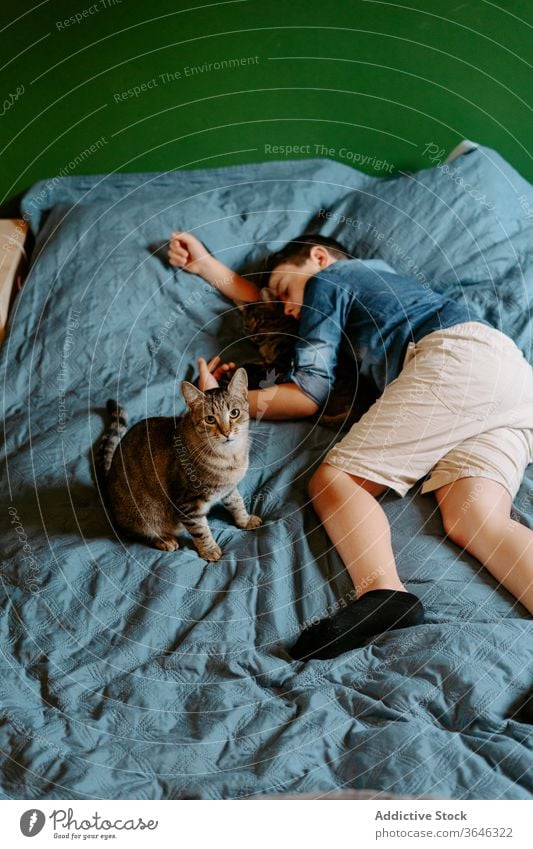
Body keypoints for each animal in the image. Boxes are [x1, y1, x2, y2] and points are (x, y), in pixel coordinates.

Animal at [97, 368, 262, 560]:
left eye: (234, 413)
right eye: (210, 419)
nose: (226, 432)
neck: (230, 457)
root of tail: (107, 483)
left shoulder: (228, 488)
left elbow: (237, 503)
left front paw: (245, 520)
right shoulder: (186, 502)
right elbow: (200, 530)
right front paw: (209, 549)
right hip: (141, 514)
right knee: (136, 533)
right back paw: (164, 539)